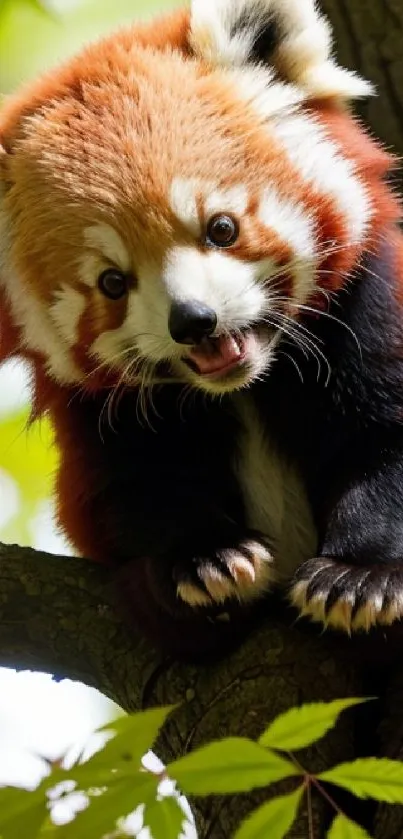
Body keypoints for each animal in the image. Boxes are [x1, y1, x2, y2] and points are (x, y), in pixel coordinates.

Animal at [0, 0, 402, 656]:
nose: (193, 320)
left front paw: (361, 574)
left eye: (221, 228)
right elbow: (124, 493)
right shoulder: (96, 416)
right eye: (113, 282)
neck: (246, 386)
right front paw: (202, 559)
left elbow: (385, 438)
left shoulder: (367, 310)